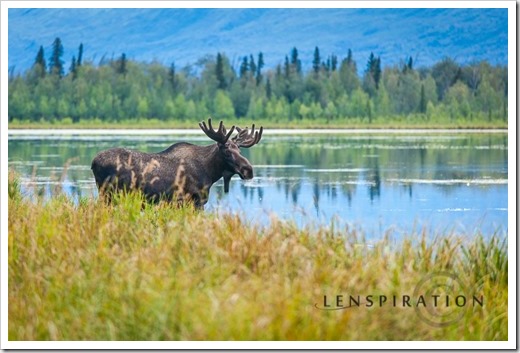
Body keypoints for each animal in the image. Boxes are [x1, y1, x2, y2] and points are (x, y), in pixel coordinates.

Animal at [91, 119, 262, 206]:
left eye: (239, 151)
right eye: (227, 152)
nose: (248, 170)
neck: (210, 172)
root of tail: (93, 163)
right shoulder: (192, 200)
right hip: (109, 194)